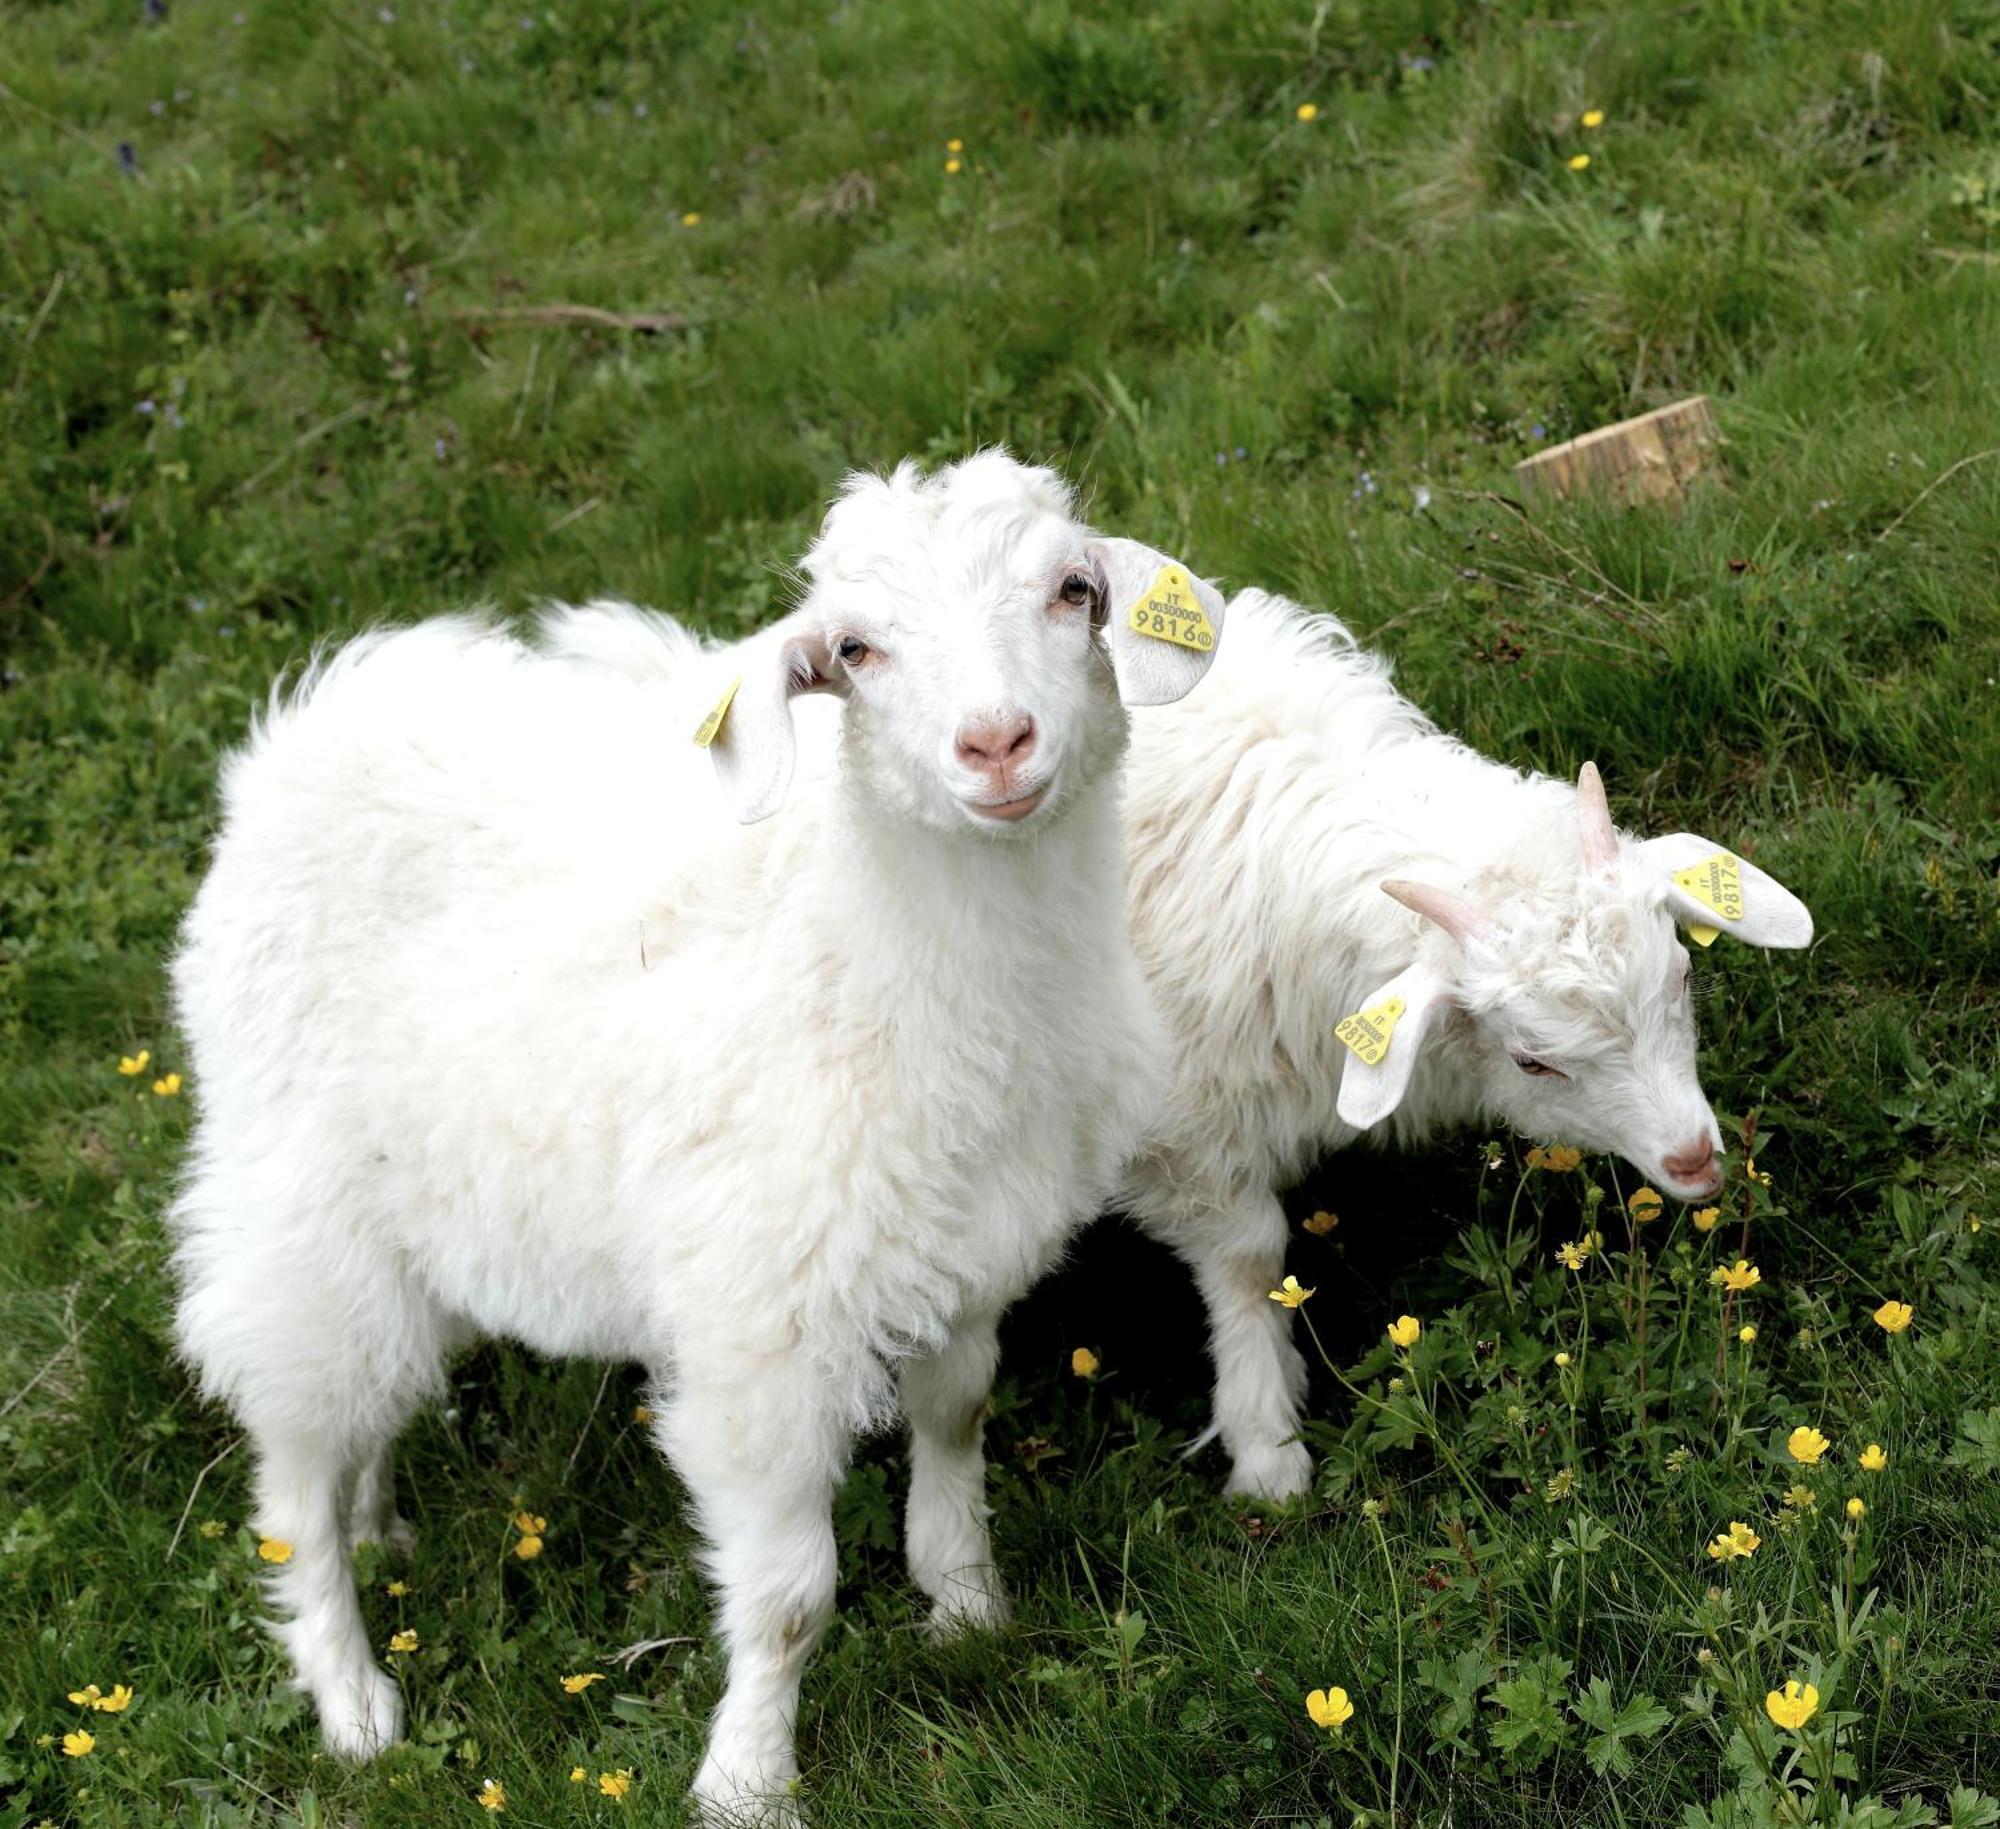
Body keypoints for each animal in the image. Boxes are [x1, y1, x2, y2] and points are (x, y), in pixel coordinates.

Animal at [172, 452, 1224, 1808]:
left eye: (1073, 590)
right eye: (854, 650)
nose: (995, 744)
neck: (856, 946)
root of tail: (309, 732)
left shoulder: (967, 1250)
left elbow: (954, 1420)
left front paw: (964, 1606)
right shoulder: (760, 1324)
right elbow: (787, 1596)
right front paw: (746, 1780)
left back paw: (378, 1523)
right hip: (294, 1201)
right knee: (291, 1455)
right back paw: (350, 1693)